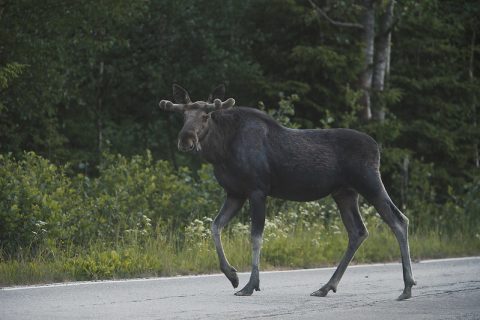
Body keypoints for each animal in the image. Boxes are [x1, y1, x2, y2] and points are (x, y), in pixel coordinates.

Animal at [158, 84, 416, 298]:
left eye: (205, 115)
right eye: (183, 115)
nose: (186, 139)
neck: (221, 152)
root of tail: (377, 148)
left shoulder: (257, 190)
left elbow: (255, 237)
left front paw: (250, 285)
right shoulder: (235, 193)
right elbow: (214, 226)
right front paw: (232, 275)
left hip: (369, 182)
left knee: (399, 220)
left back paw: (407, 287)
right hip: (344, 193)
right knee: (358, 231)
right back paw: (326, 287)